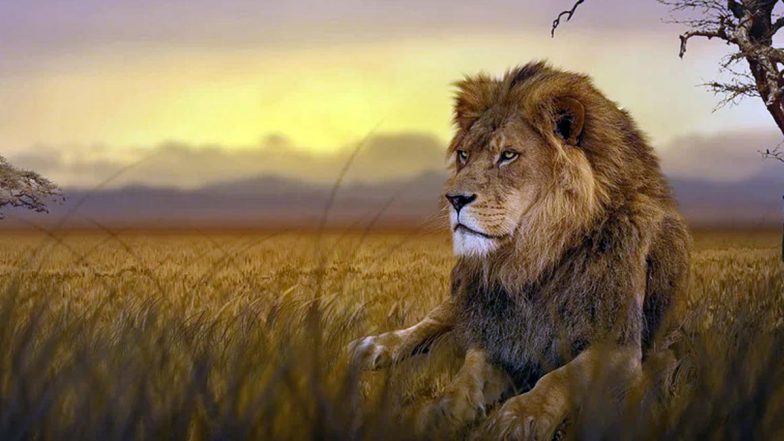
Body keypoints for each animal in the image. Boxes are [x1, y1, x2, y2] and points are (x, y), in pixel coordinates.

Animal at [349, 61, 690, 439]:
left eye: (508, 155)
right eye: (464, 154)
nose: (453, 199)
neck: (533, 259)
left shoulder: (619, 344)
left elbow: (560, 377)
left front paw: (519, 417)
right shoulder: (495, 328)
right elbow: (467, 377)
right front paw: (440, 411)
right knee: (434, 319)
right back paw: (375, 347)